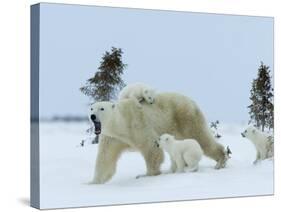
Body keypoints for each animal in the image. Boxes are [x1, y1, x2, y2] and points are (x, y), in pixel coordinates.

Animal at [90, 93, 228, 184]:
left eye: (101, 108)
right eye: (91, 108)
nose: (92, 116)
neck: (121, 123)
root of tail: (191, 101)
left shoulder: (137, 125)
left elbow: (151, 148)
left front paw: (147, 175)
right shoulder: (112, 138)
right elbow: (105, 158)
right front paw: (93, 182)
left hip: (185, 118)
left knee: (201, 137)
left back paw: (220, 161)